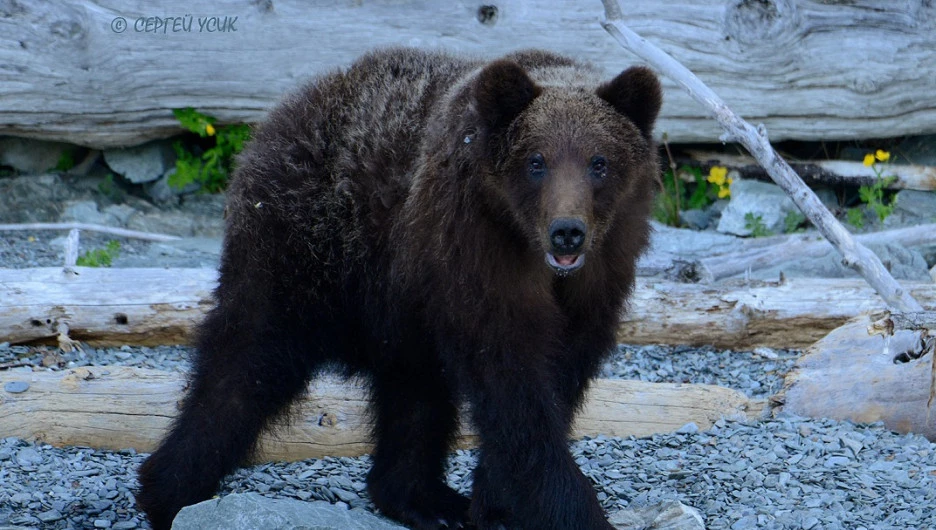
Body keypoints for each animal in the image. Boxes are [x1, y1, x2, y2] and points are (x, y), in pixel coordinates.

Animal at [135, 47, 660, 524]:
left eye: (599, 161)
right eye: (537, 160)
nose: (567, 230)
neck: (531, 248)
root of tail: (282, 111)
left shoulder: (599, 272)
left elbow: (556, 377)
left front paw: (496, 502)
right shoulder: (477, 249)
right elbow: (512, 380)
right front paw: (568, 507)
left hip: (400, 295)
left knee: (414, 389)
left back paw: (424, 500)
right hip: (306, 244)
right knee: (248, 358)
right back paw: (170, 490)